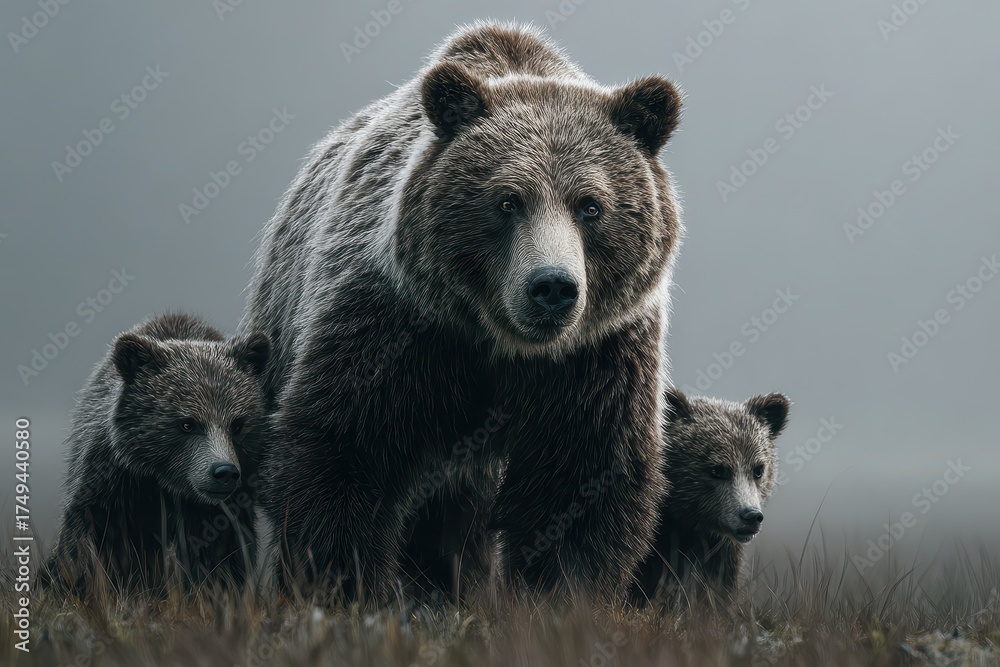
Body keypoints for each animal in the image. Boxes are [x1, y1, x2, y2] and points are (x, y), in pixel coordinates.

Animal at [44, 313, 270, 596]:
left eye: (237, 424)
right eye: (187, 424)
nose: (224, 472)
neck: (168, 485)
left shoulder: (220, 512)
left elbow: (221, 561)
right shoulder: (115, 483)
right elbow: (91, 543)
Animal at [241, 21, 683, 604]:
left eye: (591, 205)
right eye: (507, 201)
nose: (552, 288)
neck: (499, 343)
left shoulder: (597, 356)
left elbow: (579, 480)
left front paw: (561, 598)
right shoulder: (398, 325)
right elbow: (343, 451)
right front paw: (342, 588)